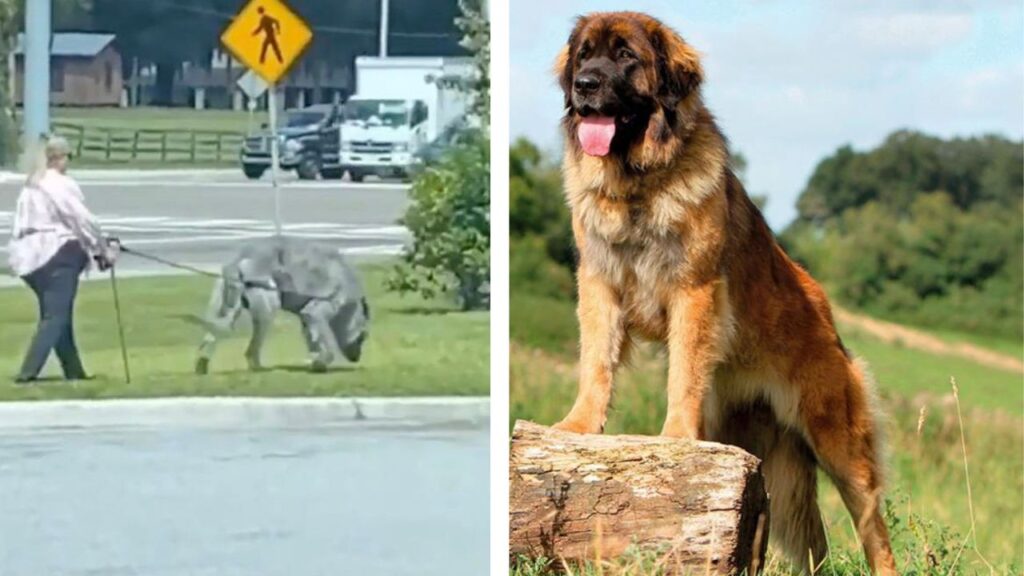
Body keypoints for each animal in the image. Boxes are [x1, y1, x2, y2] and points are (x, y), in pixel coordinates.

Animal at [193, 234, 370, 373]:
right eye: (362, 337)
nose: (358, 357)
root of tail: (239, 260)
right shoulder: (320, 310)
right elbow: (325, 339)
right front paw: (321, 362)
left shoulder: (306, 318)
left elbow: (311, 336)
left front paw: (316, 359)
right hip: (266, 303)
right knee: (252, 347)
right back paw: (257, 367)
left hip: (224, 298)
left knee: (217, 328)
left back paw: (202, 364)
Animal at [552, 11, 897, 569]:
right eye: (585, 55)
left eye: (626, 56)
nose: (584, 85)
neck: (638, 186)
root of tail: (825, 312)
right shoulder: (600, 284)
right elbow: (596, 362)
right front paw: (578, 426)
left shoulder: (693, 290)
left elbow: (682, 373)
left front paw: (674, 439)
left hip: (839, 443)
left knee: (874, 530)